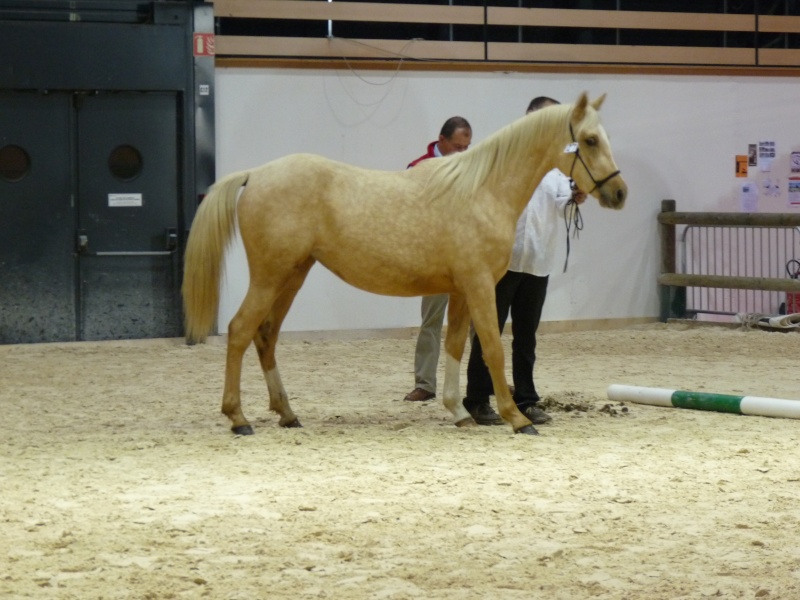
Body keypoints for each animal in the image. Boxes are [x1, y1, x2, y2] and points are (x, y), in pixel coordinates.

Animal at [184, 90, 628, 436]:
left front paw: (460, 412)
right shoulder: (480, 284)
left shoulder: (461, 290)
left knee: (266, 336)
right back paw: (238, 418)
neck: (482, 191)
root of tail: (255, 174)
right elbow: (492, 348)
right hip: (269, 276)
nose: (620, 193)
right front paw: (517, 419)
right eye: (589, 140)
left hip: (292, 276)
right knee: (240, 331)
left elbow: (455, 346)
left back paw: (287, 414)